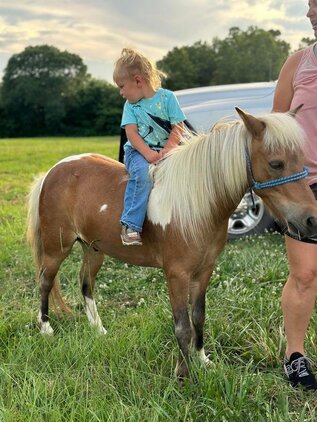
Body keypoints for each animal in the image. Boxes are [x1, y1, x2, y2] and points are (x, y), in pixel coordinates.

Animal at [25, 109, 316, 380]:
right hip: (57, 247)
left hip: (93, 249)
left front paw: (203, 361)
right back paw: (46, 328)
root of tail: (53, 171)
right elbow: (182, 325)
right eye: (276, 163)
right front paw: (183, 374)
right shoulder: (177, 274)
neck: (197, 206)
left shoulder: (204, 271)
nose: (311, 220)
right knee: (45, 281)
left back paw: (98, 329)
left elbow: (198, 317)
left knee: (85, 282)